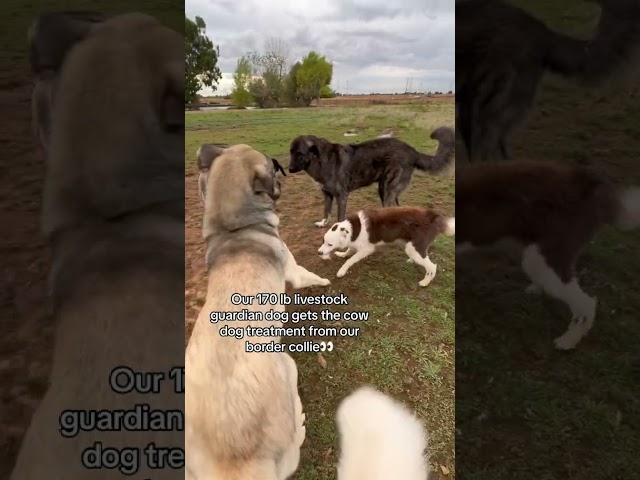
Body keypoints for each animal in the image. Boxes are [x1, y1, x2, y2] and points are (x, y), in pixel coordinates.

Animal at [184, 145, 324, 480]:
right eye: (270, 168)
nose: (281, 169)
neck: (234, 230)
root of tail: (234, 460)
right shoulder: (294, 271)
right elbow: (311, 276)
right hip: (288, 364)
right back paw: (300, 422)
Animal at [290, 126, 456, 226]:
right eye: (290, 152)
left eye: (299, 154)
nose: (289, 169)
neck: (320, 159)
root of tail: (412, 151)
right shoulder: (327, 194)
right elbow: (326, 211)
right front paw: (323, 224)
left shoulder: (342, 196)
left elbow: (340, 218)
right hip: (387, 189)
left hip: (386, 189)